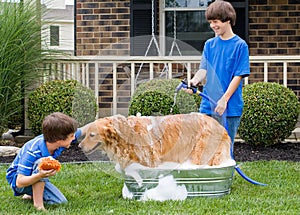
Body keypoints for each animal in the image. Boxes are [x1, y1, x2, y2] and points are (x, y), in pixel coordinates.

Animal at [78, 113, 231, 169]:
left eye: (92, 135)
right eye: (86, 134)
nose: (79, 146)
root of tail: (221, 127)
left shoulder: (150, 161)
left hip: (201, 153)